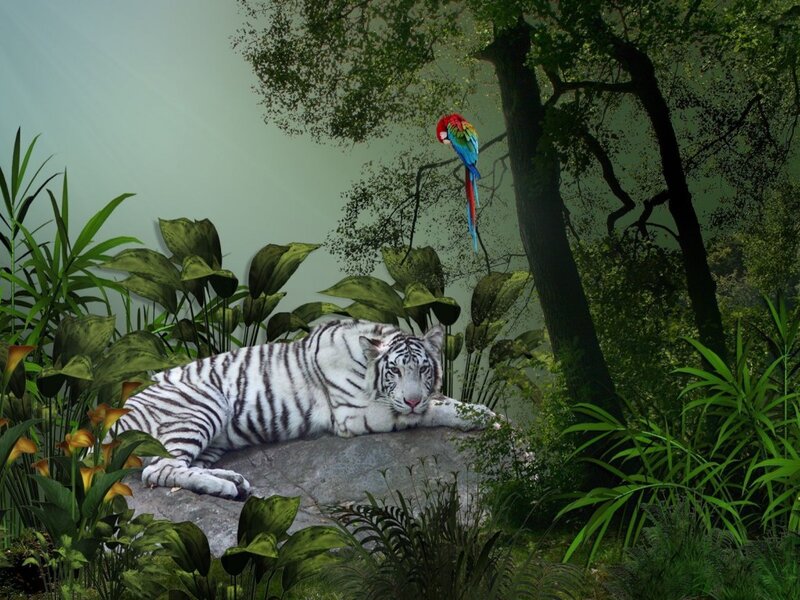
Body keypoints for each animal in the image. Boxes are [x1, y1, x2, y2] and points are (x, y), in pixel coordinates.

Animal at [118, 319, 496, 499]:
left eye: (423, 369)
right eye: (395, 372)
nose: (413, 397)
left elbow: (441, 398)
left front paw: (484, 412)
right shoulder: (355, 414)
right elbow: (432, 408)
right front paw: (479, 416)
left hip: (214, 440)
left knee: (182, 466)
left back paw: (234, 482)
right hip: (202, 405)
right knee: (159, 471)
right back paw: (225, 488)